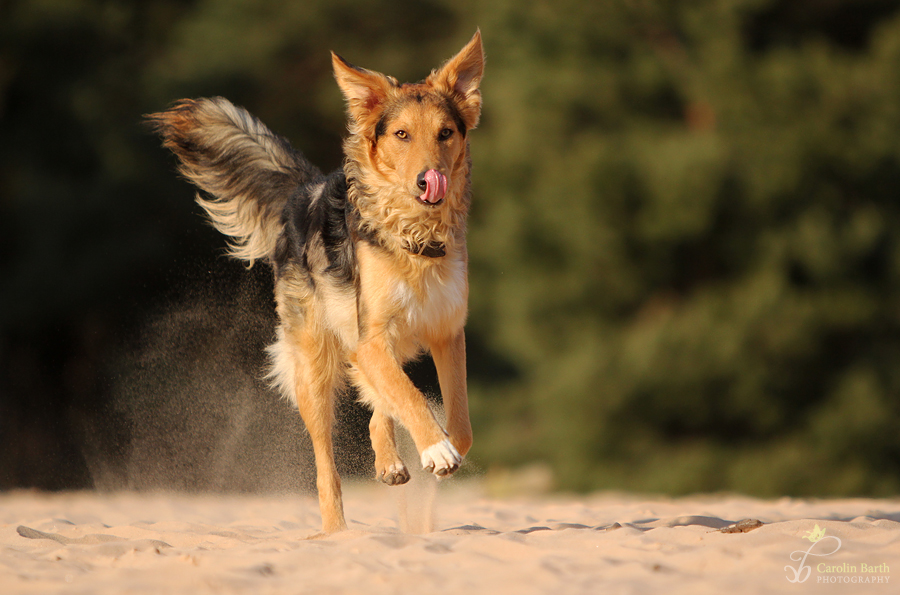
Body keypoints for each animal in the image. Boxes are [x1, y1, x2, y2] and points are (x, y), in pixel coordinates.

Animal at [149, 31, 486, 536]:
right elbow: (409, 396)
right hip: (315, 368)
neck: (413, 238)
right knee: (327, 468)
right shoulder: (372, 336)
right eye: (401, 135)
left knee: (378, 402)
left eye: (446, 133)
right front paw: (435, 449)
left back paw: (390, 464)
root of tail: (302, 192)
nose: (431, 180)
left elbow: (458, 424)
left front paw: (434, 451)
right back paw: (336, 533)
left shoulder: (446, 332)